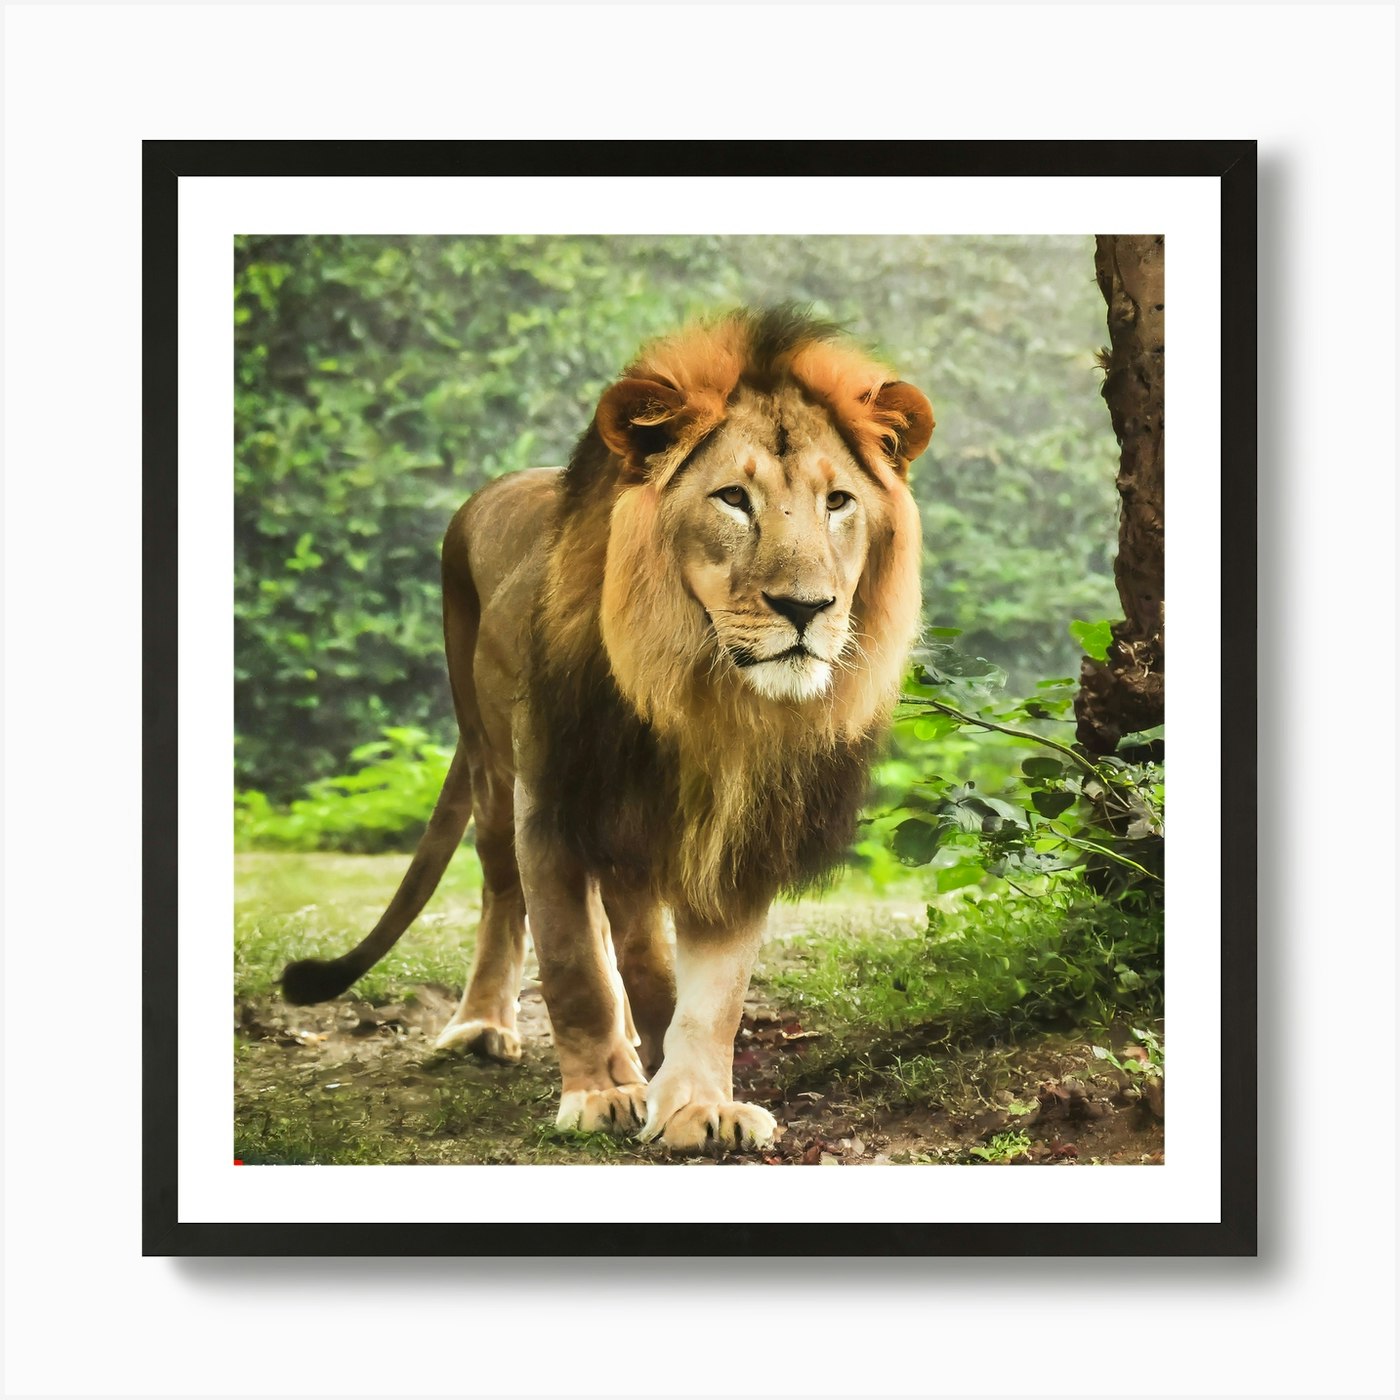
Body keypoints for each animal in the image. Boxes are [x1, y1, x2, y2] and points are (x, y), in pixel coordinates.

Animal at [281, 307, 933, 1152]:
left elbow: (712, 993)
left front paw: (696, 1103)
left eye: (838, 502)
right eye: (732, 498)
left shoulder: (737, 834)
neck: (703, 697)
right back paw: (485, 1027)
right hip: (495, 767)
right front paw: (598, 1093)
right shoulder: (554, 803)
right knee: (504, 895)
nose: (806, 607)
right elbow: (573, 966)